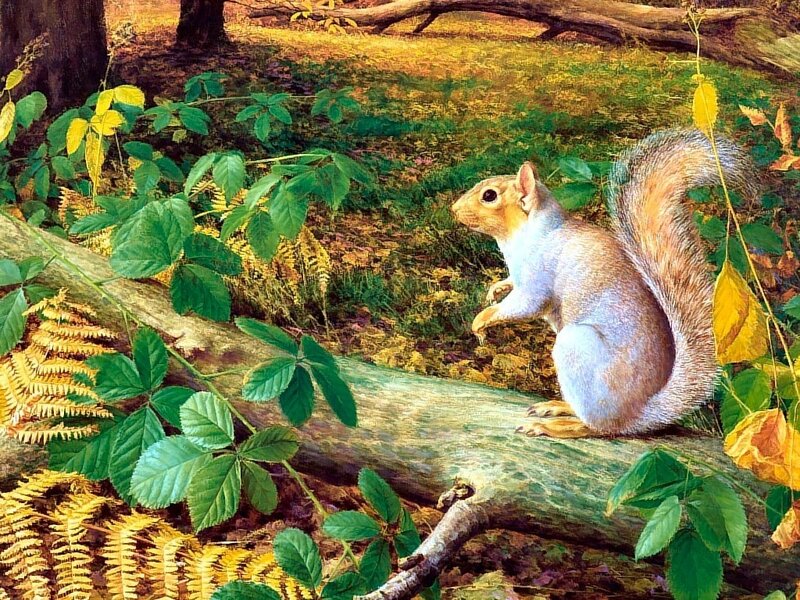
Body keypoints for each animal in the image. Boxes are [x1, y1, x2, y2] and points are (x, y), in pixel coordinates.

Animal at [451, 129, 755, 438]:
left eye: (489, 196)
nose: (453, 209)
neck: (528, 232)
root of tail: (640, 413)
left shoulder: (538, 273)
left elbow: (526, 305)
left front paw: (482, 320)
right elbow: (511, 284)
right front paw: (496, 289)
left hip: (576, 349)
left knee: (597, 427)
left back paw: (553, 426)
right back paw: (558, 407)